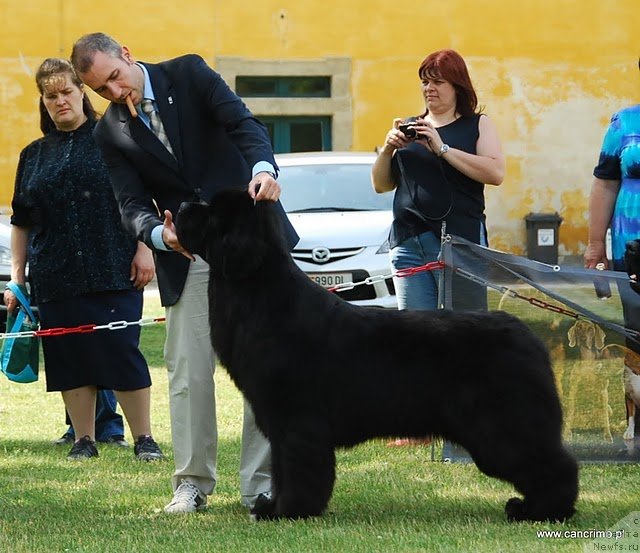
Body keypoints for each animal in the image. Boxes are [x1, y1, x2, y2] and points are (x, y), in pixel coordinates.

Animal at [175, 189, 580, 520]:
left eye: (211, 212)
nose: (180, 206)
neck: (259, 292)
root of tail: (529, 337)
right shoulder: (279, 422)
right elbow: (281, 470)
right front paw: (272, 507)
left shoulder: (296, 420)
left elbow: (298, 469)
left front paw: (290, 511)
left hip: (501, 425)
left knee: (554, 463)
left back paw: (538, 511)